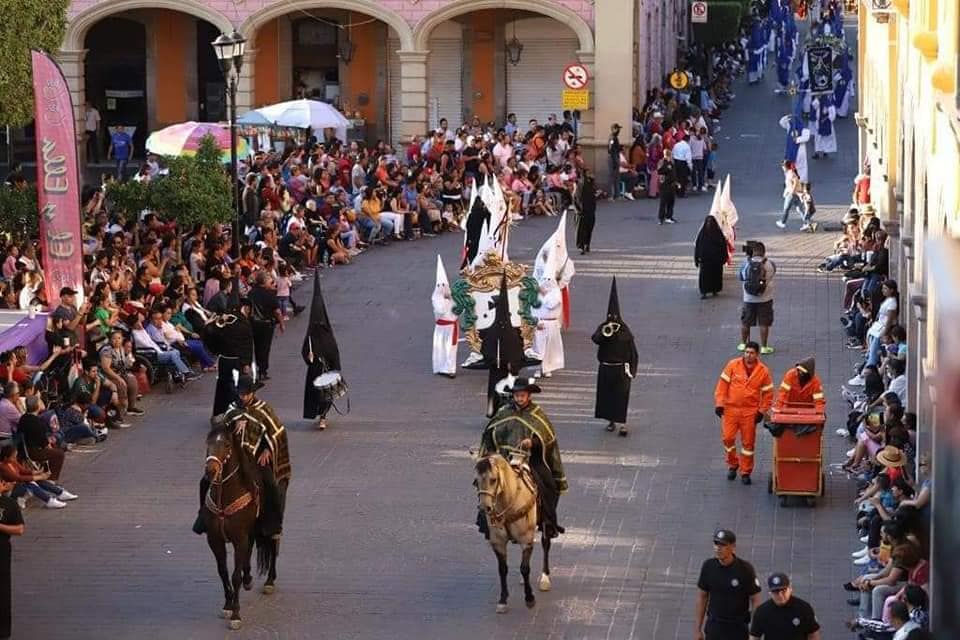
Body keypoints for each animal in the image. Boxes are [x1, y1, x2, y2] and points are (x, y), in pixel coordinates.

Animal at [202, 424, 278, 632]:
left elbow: (235, 576)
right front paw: (227, 605)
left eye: (227, 444)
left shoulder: (239, 538)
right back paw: (249, 578)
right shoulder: (215, 540)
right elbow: (223, 571)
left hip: (267, 525)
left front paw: (236, 614)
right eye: (208, 442)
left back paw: (269, 581)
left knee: (273, 546)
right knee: (250, 549)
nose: (210, 471)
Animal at [474, 452, 552, 612]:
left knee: (545, 543)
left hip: (546, 522)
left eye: (493, 479)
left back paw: (545, 578)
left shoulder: (526, 540)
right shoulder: (497, 542)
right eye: (476, 481)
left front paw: (529, 598)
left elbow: (525, 568)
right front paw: (503, 600)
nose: (484, 508)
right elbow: (503, 569)